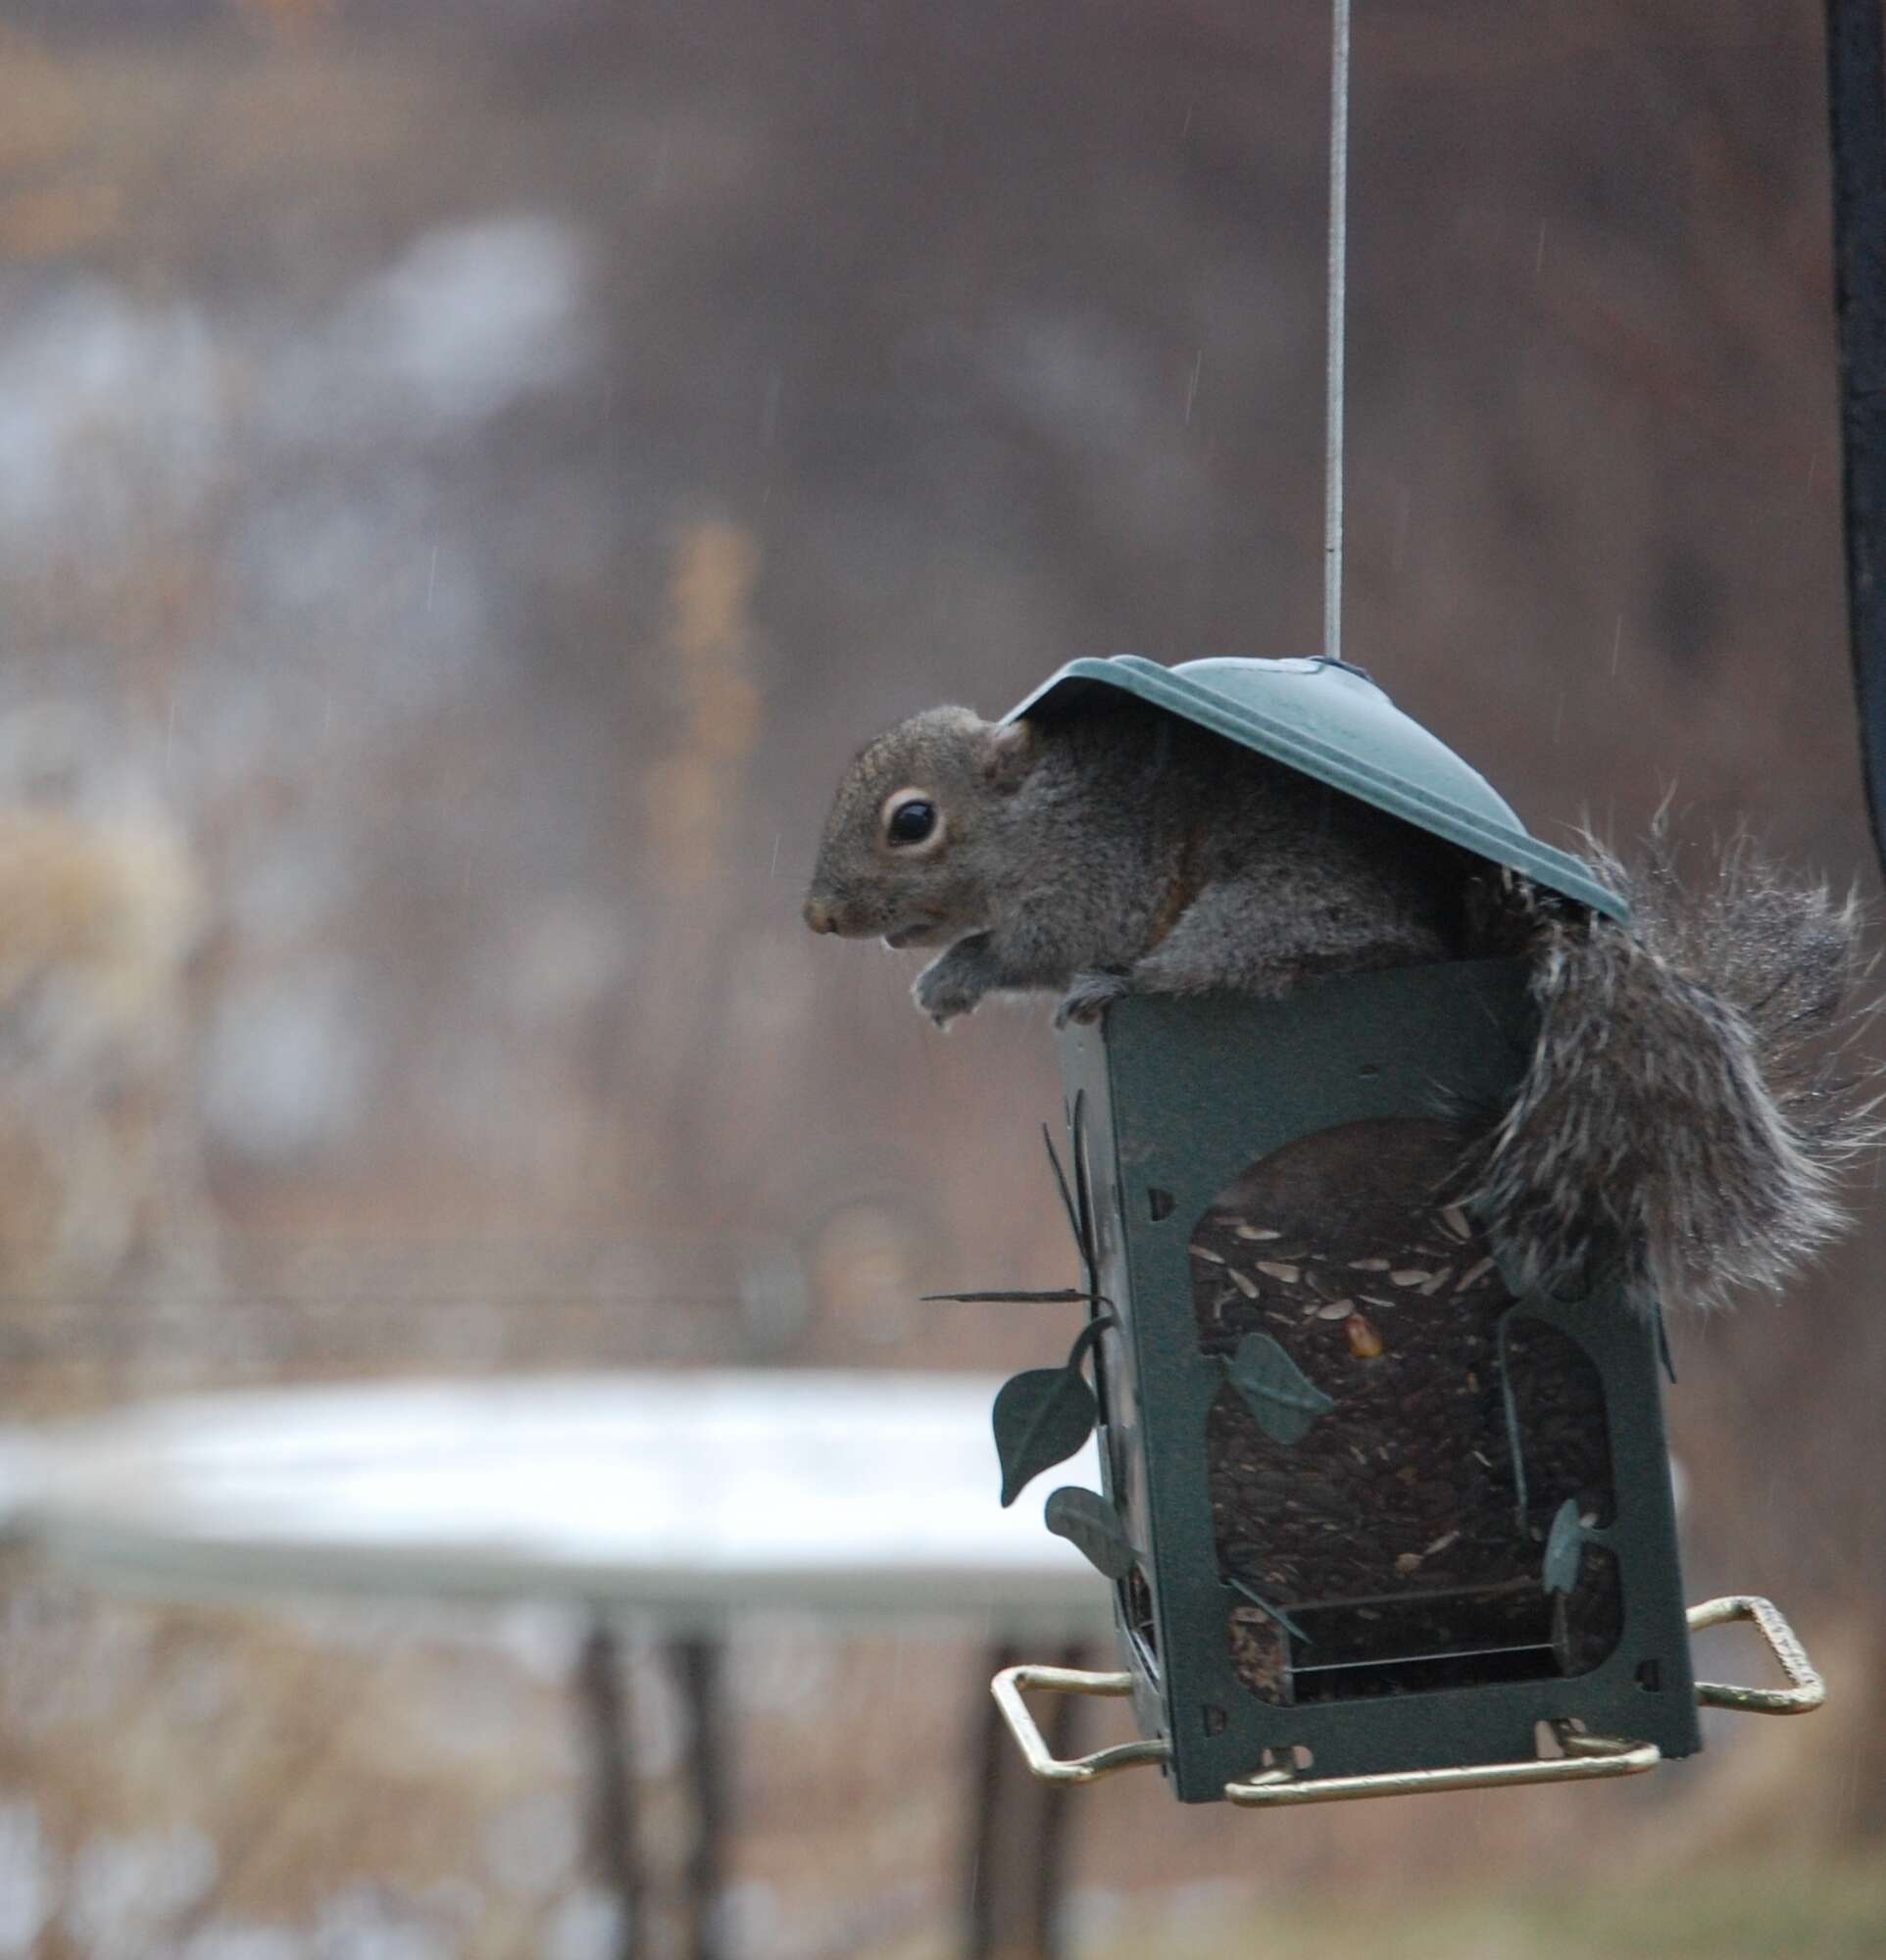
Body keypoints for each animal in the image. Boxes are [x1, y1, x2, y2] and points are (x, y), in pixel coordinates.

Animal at [800, 694, 1874, 1317]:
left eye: (912, 821)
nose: (818, 916)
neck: (1029, 820)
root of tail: (1439, 941)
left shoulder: (1097, 879)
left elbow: (1032, 948)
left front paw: (958, 975)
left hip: (1256, 913)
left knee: (1226, 968)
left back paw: (1123, 984)